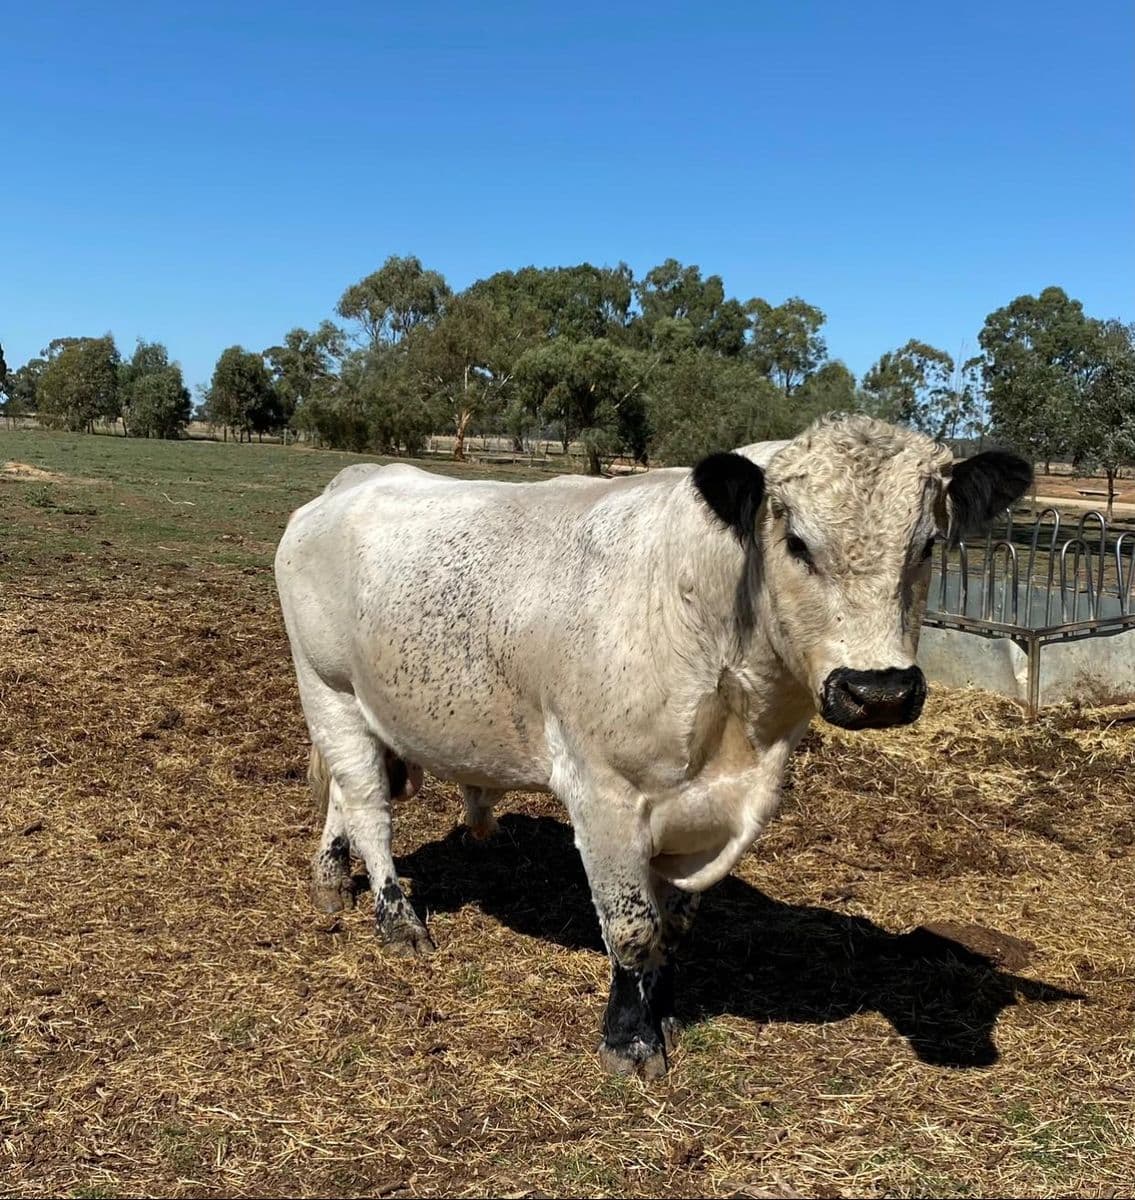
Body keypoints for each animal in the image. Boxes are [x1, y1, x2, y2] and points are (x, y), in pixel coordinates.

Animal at [274, 415, 1031, 1078]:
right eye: (797, 543)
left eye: (926, 544)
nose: (879, 692)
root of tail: (354, 479)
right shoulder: (603, 792)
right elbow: (632, 927)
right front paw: (628, 1039)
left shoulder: (707, 810)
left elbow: (673, 924)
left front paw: (661, 1012)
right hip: (328, 690)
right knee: (368, 807)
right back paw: (396, 919)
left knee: (346, 798)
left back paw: (331, 879)